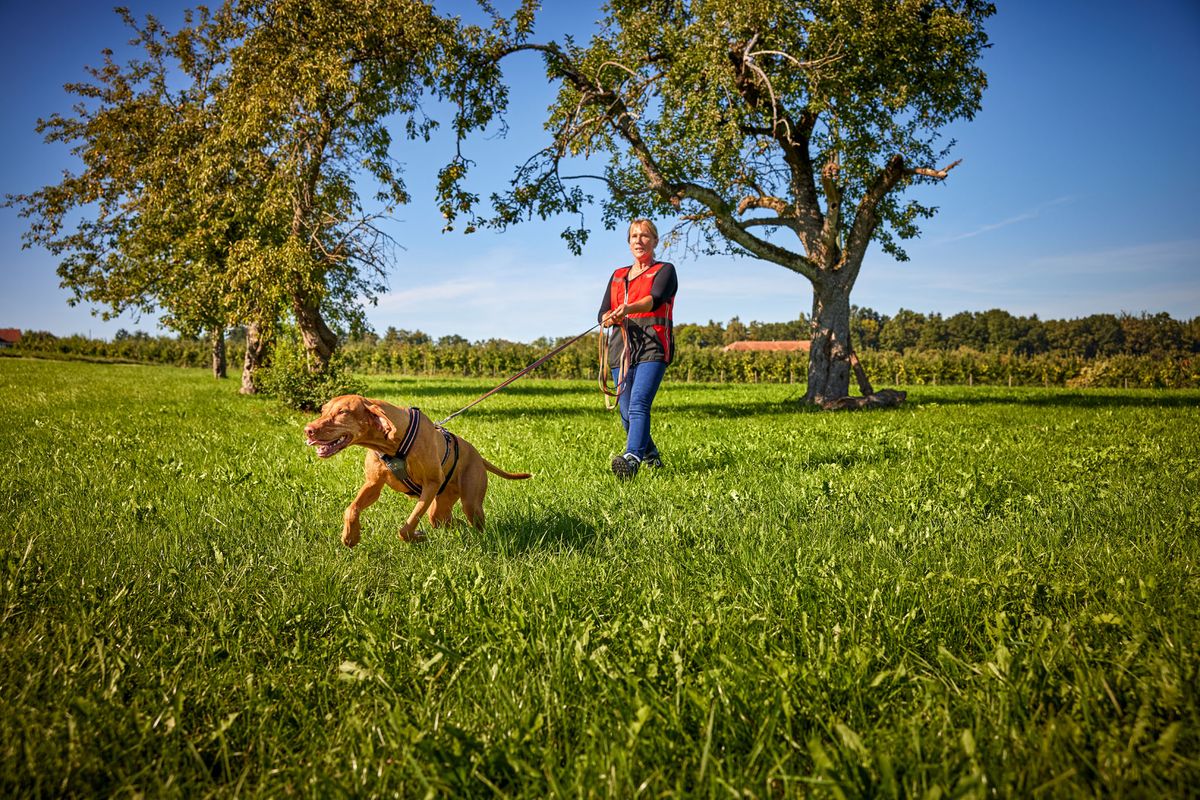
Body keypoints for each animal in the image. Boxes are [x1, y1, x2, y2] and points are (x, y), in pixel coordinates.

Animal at [304, 393, 530, 544]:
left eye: (343, 412)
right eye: (323, 410)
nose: (308, 430)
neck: (393, 442)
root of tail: (478, 455)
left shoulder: (431, 484)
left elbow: (407, 527)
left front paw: (417, 536)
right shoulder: (373, 484)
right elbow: (351, 509)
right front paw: (351, 535)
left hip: (470, 503)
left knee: (474, 521)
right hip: (440, 508)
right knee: (447, 520)